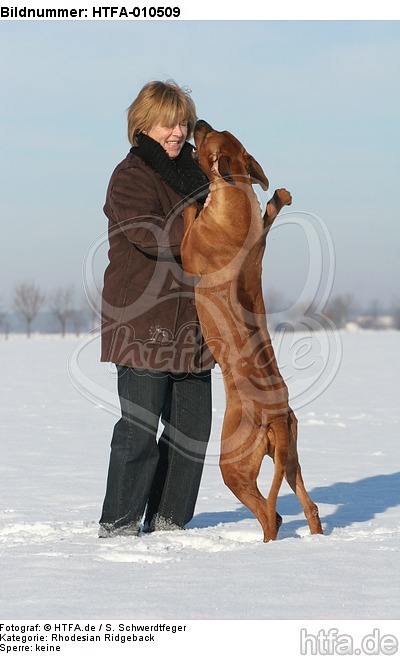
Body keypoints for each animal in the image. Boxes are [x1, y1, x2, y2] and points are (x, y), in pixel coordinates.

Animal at [180, 120, 322, 540]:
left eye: (207, 136)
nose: (198, 122)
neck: (234, 192)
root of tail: (274, 414)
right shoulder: (260, 239)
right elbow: (271, 215)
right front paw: (280, 194)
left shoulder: (189, 249)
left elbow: (186, 221)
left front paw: (191, 201)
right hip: (289, 457)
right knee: (309, 505)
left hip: (234, 465)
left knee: (269, 514)